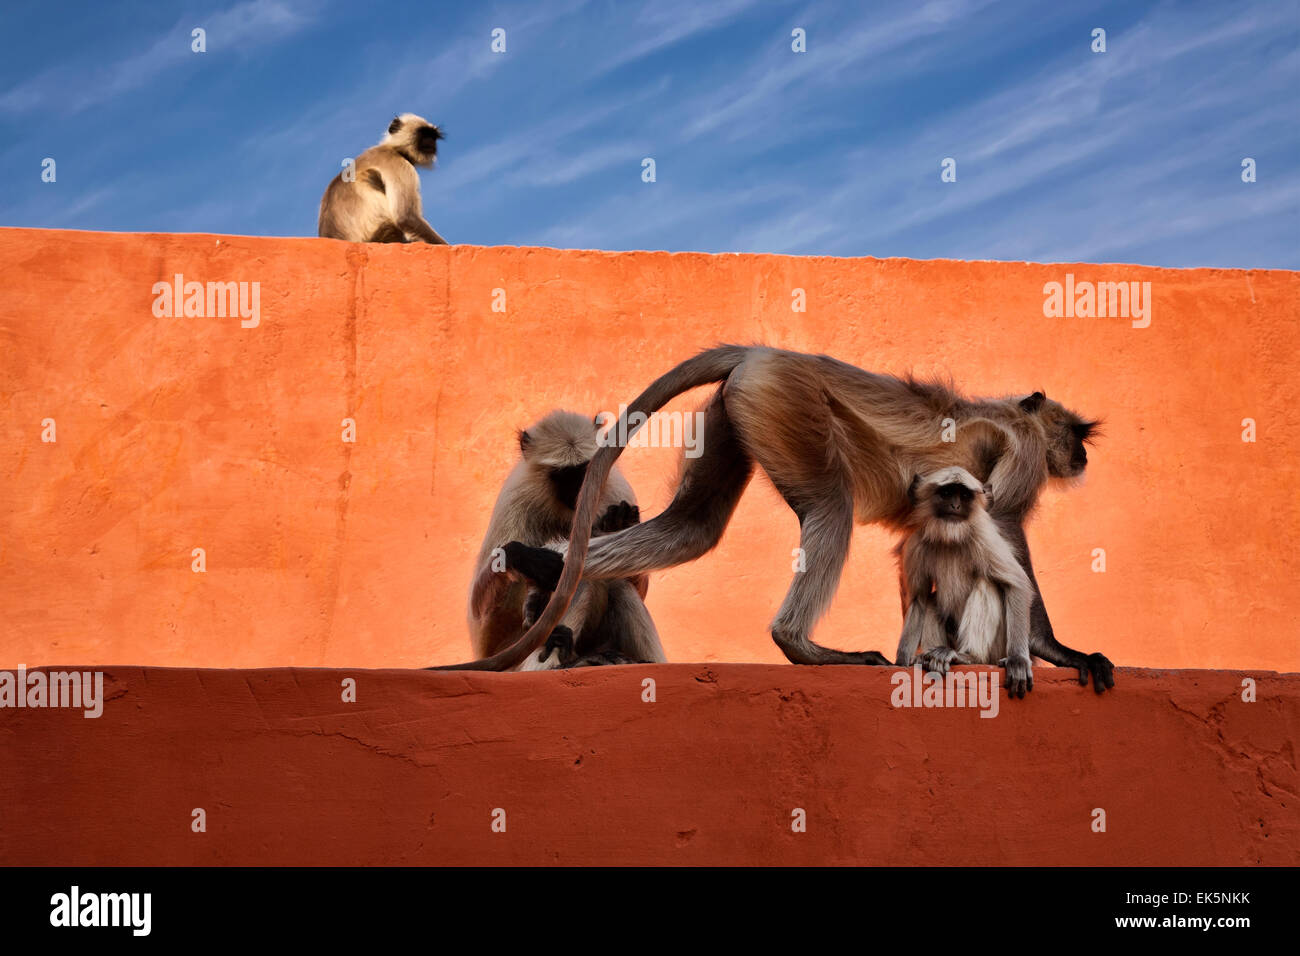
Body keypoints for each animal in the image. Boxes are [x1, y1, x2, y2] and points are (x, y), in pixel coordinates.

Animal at [318, 114, 449, 244]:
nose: (431, 142)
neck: (394, 149)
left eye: (433, 136)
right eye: (424, 134)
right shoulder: (399, 164)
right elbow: (406, 216)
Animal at [452, 409, 665, 671]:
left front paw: (617, 525)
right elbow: (477, 609)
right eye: (564, 476)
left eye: (584, 470)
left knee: (618, 585)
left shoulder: (617, 490)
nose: (579, 490)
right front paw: (526, 559)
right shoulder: (515, 498)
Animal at [893, 467, 1035, 697]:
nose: (955, 505)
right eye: (947, 493)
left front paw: (1018, 660)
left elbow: (1017, 583)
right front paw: (900, 662)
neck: (951, 537)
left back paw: (968, 657)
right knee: (931, 600)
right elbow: (919, 599)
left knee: (986, 583)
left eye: (965, 495)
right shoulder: (917, 543)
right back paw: (929, 657)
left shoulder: (984, 537)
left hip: (995, 648)